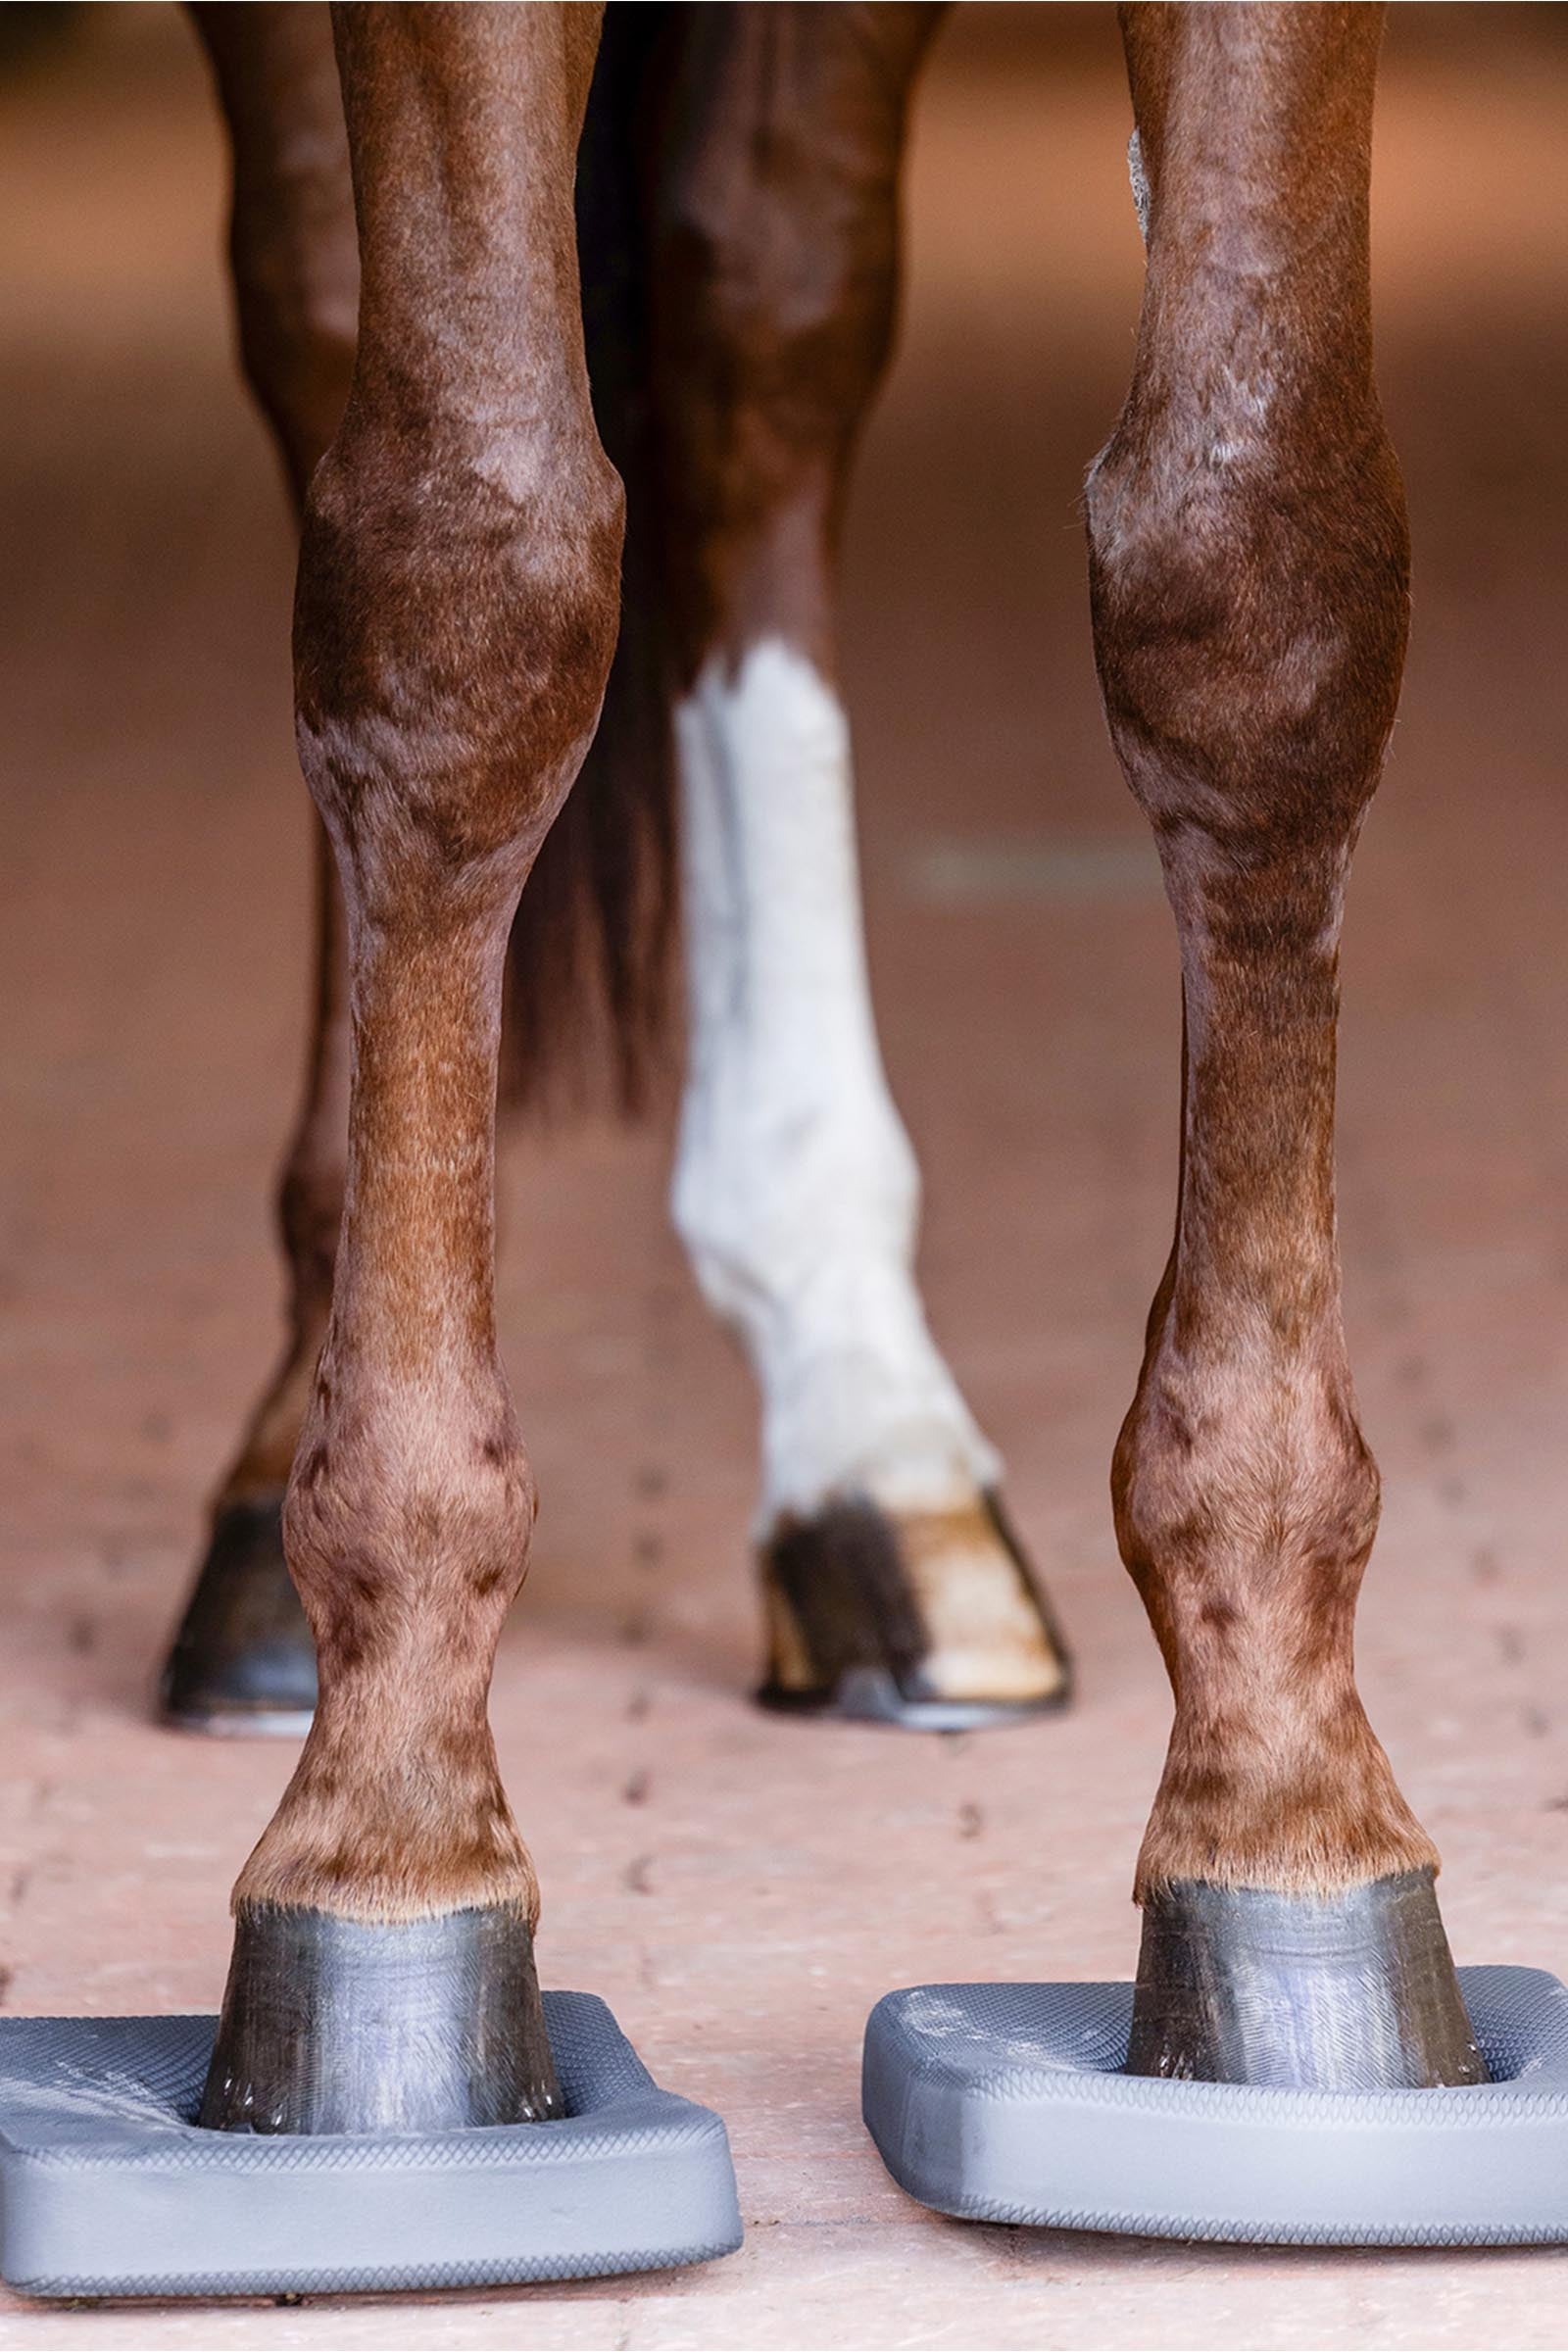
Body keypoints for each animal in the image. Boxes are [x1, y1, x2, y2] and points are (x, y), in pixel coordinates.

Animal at [164, 2, 1484, 2135]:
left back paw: (868, 1442)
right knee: (322, 327)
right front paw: (389, 1823)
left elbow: (1252, 569)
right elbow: (467, 566)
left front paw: (1280, 1787)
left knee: (756, 334)